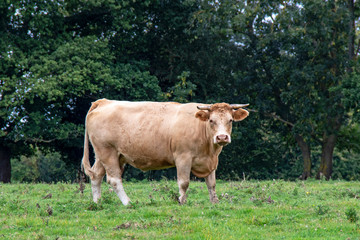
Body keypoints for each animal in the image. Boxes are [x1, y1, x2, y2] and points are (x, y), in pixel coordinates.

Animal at [82, 98, 249, 205]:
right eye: (211, 120)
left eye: (230, 120)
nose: (222, 137)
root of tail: (104, 101)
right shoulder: (183, 157)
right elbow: (184, 182)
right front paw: (182, 201)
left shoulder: (211, 161)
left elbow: (212, 184)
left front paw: (215, 202)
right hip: (107, 152)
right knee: (114, 179)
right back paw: (128, 202)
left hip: (107, 155)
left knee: (96, 175)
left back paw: (97, 202)